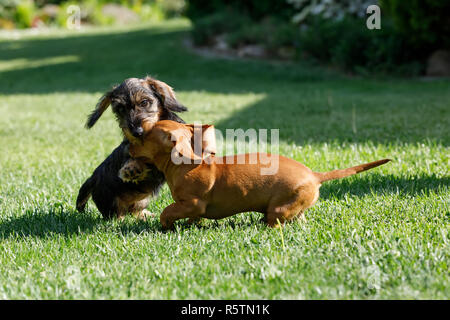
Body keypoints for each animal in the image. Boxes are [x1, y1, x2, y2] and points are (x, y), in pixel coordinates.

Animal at [75, 77, 186, 220]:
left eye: (144, 102)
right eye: (121, 109)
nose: (137, 132)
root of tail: (92, 178)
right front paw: (132, 168)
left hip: (141, 200)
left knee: (133, 210)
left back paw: (145, 214)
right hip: (110, 201)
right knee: (116, 215)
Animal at [125, 119, 390, 228]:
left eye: (143, 135)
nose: (128, 146)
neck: (186, 164)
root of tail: (315, 175)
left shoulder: (192, 203)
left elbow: (168, 211)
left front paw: (167, 225)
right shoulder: (191, 208)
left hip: (279, 207)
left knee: (277, 222)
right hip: (296, 206)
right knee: (299, 218)